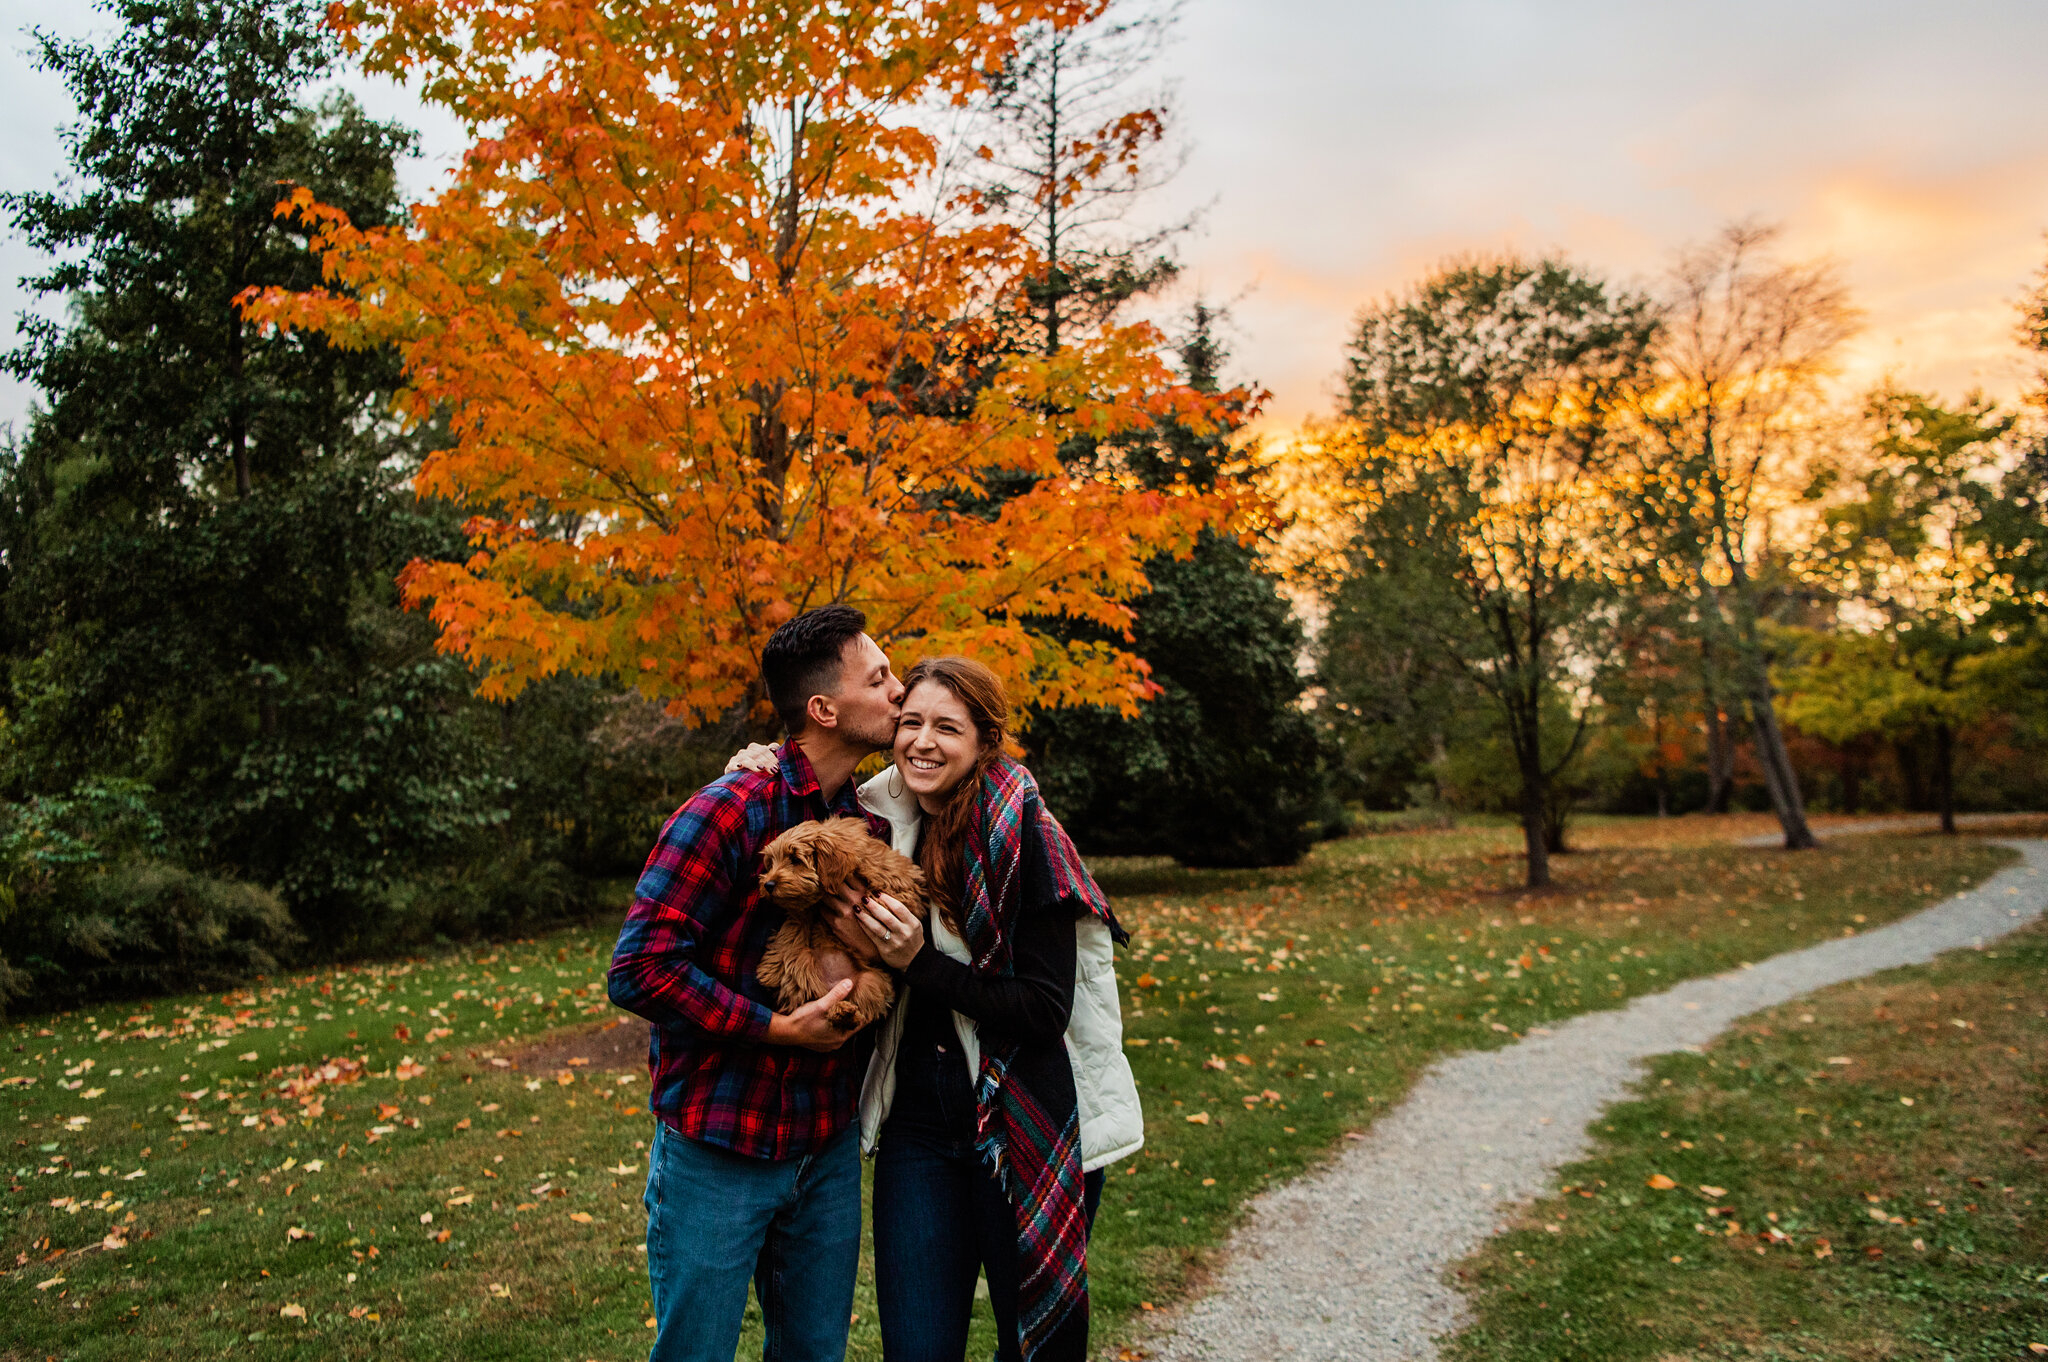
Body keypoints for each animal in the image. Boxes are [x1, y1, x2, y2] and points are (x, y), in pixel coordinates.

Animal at [753, 819, 921, 1032]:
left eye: (795, 859)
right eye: (771, 862)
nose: (768, 885)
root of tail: (832, 985)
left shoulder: (887, 872)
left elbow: (887, 880)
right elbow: (796, 920)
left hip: (871, 981)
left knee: (861, 1007)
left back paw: (845, 1013)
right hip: (802, 966)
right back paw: (841, 1012)